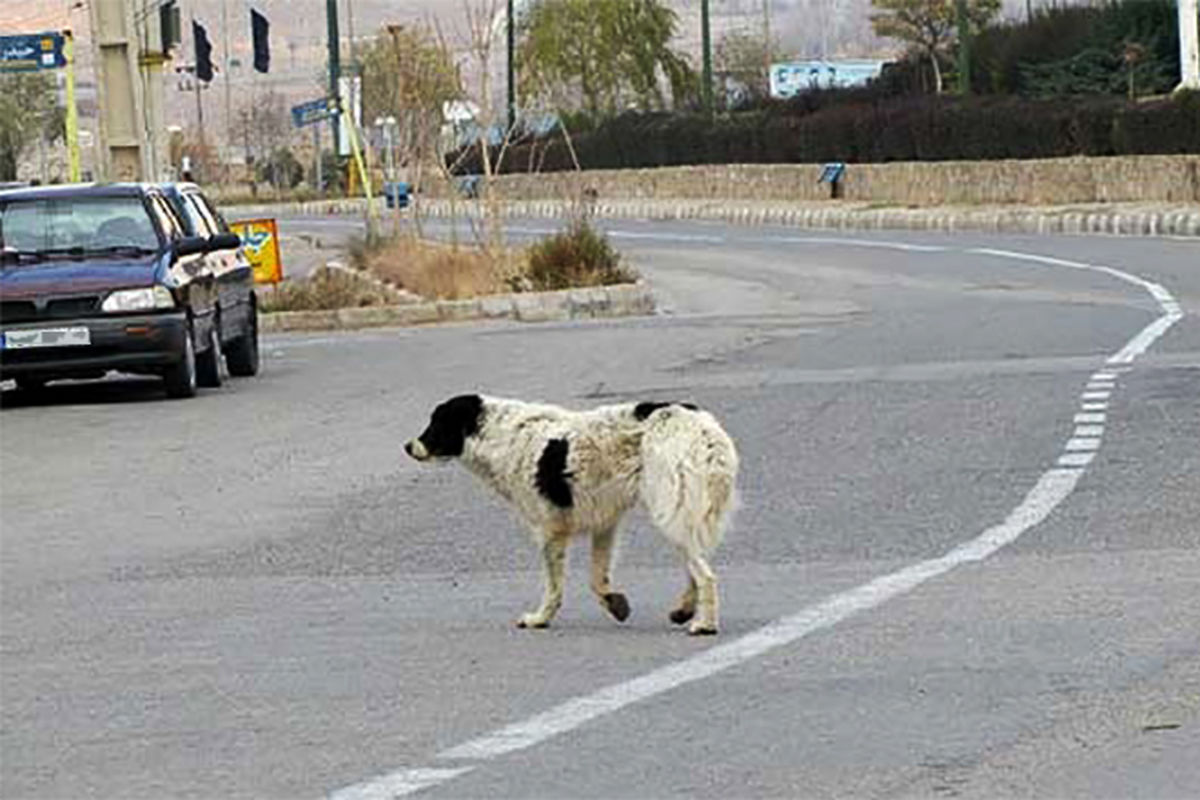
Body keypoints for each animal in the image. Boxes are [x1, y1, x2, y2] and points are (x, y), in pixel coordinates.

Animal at [405, 395, 739, 638]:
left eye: (435, 423)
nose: (407, 446)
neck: (499, 436)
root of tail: (706, 431)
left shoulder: (549, 531)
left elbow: (554, 587)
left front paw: (539, 619)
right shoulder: (605, 524)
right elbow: (597, 579)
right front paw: (614, 603)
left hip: (670, 511)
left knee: (705, 574)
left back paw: (704, 624)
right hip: (682, 515)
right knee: (695, 567)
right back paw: (685, 610)